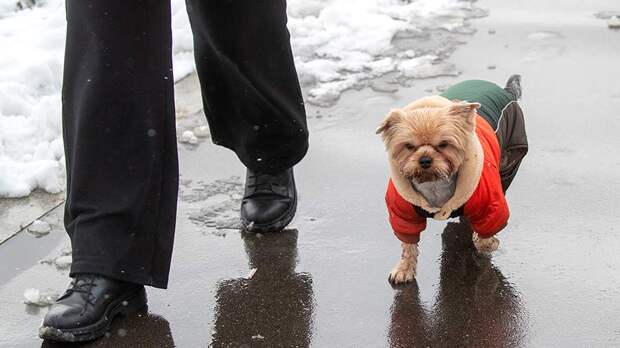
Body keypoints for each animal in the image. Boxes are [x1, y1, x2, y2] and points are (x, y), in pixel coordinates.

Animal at [378, 77, 528, 284]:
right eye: (408, 146)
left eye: (443, 144)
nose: (425, 160)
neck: (434, 182)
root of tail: (506, 91)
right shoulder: (403, 210)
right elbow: (408, 242)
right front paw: (404, 268)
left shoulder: (490, 203)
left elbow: (487, 235)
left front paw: (487, 242)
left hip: (511, 158)